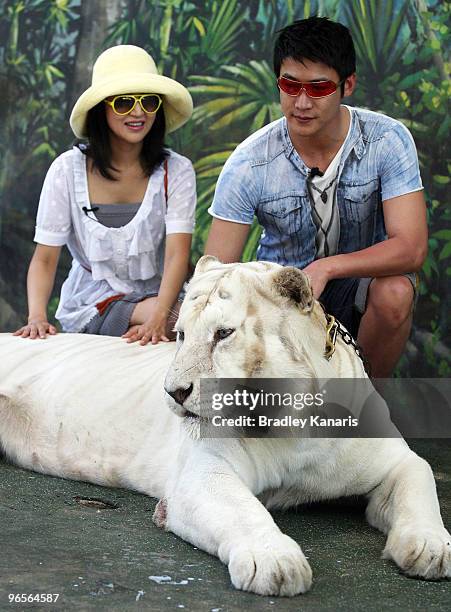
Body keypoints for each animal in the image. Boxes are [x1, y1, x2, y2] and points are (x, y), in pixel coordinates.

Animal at [0, 256, 450, 596]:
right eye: (181, 335)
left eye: (224, 333)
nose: (173, 391)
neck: (294, 424)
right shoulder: (205, 469)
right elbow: (243, 511)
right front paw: (275, 561)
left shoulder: (394, 458)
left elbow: (420, 483)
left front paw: (431, 548)